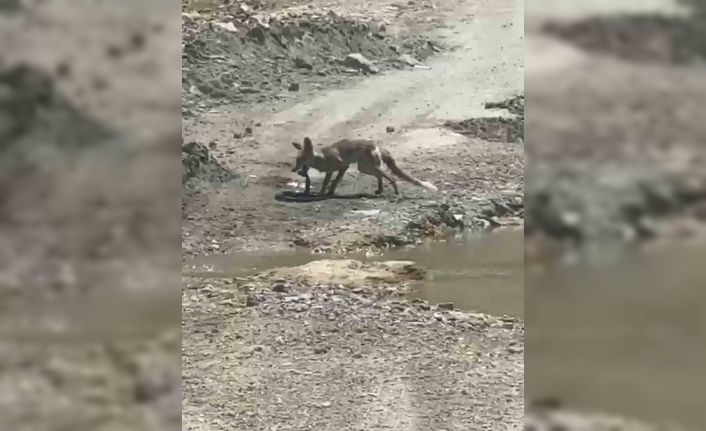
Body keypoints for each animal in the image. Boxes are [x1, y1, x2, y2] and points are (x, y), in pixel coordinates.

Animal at [290, 137, 434, 196]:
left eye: (300, 160)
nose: (293, 170)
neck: (322, 158)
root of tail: (376, 145)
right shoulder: (337, 169)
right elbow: (331, 182)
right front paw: (328, 192)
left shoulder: (342, 166)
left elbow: (331, 181)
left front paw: (323, 193)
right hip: (366, 168)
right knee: (380, 176)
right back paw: (380, 190)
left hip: (366, 167)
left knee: (390, 177)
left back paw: (395, 191)